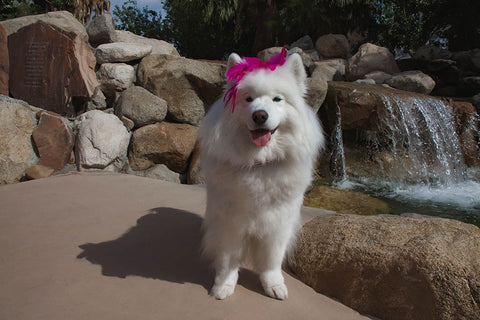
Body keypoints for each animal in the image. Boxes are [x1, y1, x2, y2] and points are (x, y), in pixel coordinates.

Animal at [197, 49, 324, 300]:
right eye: (248, 99)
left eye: (277, 99)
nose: (260, 116)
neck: (259, 162)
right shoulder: (230, 220)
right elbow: (228, 259)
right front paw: (224, 285)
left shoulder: (278, 221)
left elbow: (271, 260)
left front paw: (273, 285)